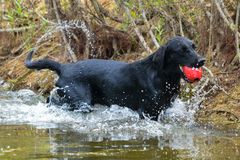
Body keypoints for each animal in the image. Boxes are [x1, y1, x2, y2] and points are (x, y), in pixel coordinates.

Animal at [24, 36, 204, 120]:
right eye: (182, 50)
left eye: (193, 47)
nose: (202, 60)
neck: (163, 77)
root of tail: (64, 67)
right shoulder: (147, 112)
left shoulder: (161, 110)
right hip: (80, 101)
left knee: (51, 100)